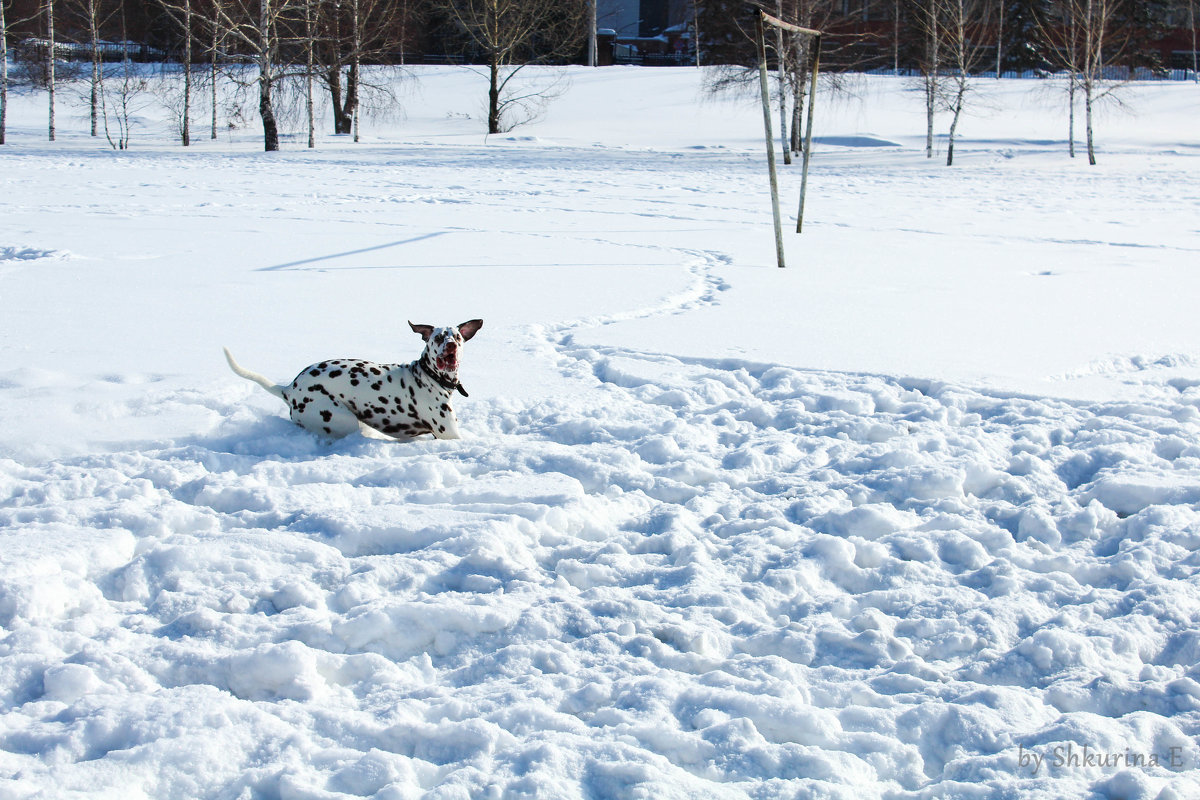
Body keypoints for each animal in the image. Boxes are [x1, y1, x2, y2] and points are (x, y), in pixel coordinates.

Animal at [225, 319, 482, 441]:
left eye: (457, 337)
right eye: (438, 337)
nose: (450, 346)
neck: (430, 376)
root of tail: (289, 389)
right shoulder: (449, 434)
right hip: (341, 419)